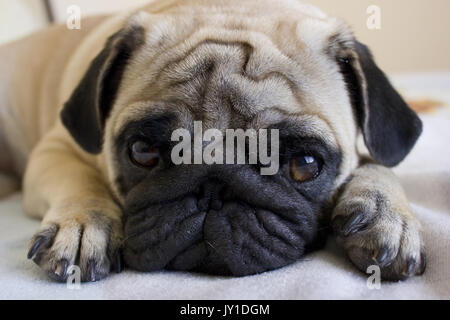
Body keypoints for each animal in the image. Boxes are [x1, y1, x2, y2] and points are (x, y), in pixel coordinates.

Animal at [0, 0, 426, 282]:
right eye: (143, 151)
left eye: (304, 165)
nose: (213, 186)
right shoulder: (54, 149)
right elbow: (81, 179)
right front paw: (86, 223)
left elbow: (377, 164)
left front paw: (386, 214)